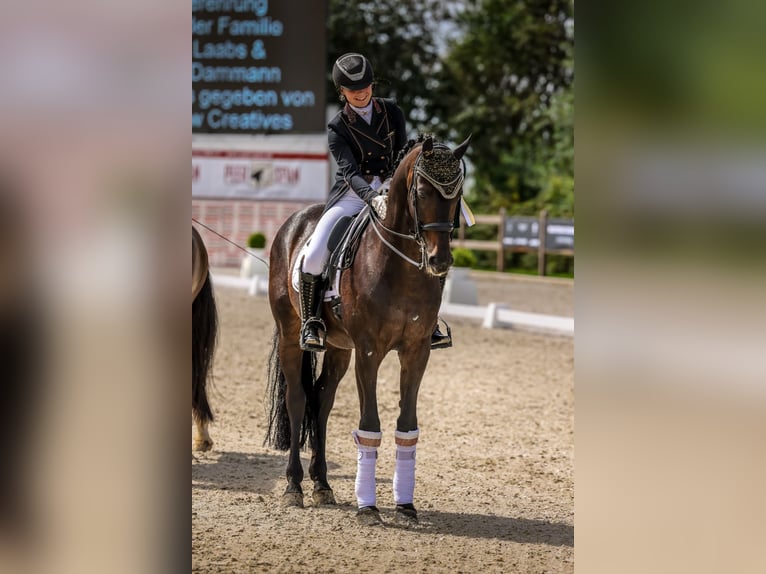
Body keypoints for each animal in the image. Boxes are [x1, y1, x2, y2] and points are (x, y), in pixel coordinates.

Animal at [268, 136, 472, 528]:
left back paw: (322, 485)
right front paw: (368, 508)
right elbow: (370, 423)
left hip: (338, 348)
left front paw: (405, 506)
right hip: (290, 335)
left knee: (322, 401)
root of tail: (294, 223)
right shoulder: (368, 351)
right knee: (298, 400)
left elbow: (407, 426)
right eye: (421, 191)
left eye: (457, 192)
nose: (440, 261)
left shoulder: (416, 351)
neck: (401, 266)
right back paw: (294, 487)